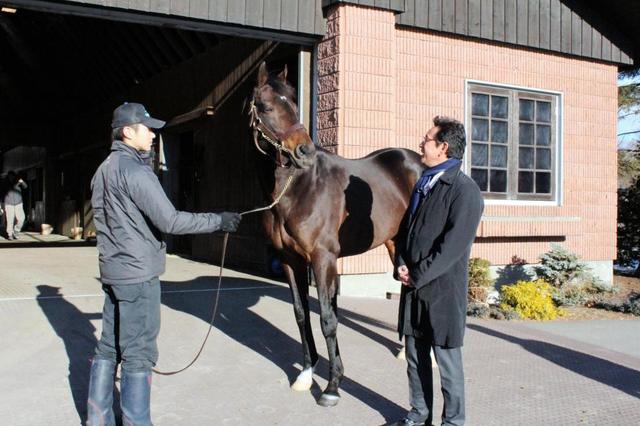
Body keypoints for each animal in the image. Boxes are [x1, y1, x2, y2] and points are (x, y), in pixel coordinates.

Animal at [250, 62, 424, 406]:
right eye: (266, 106)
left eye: (294, 103)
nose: (304, 151)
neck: (300, 188)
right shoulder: (290, 260)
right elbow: (302, 314)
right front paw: (306, 374)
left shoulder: (323, 259)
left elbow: (328, 318)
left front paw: (332, 386)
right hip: (394, 242)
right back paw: (402, 349)